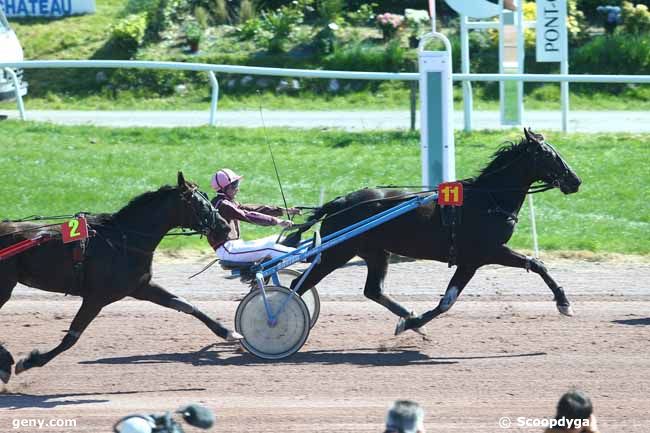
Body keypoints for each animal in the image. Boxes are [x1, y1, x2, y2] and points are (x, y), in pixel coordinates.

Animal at [0, 170, 237, 384]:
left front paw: (229, 332)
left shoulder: (140, 286)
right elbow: (71, 337)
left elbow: (185, 304)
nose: (225, 227)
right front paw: (29, 361)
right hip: (5, 287)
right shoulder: (96, 298)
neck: (125, 238)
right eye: (201, 205)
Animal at [292, 127, 580, 334]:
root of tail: (340, 201)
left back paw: (405, 314)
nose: (575, 180)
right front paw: (563, 302)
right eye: (549, 155)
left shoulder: (473, 260)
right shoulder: (485, 254)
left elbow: (447, 301)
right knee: (299, 284)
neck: (488, 200)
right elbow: (536, 264)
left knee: (373, 290)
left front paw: (412, 322)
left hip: (375, 252)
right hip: (337, 252)